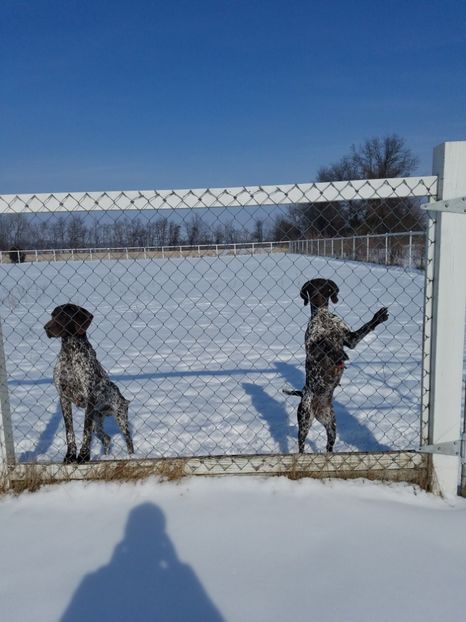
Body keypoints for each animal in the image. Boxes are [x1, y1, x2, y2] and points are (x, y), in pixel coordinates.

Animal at [44, 304, 134, 466]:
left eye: (64, 316)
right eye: (52, 315)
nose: (46, 328)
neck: (70, 353)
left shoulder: (90, 397)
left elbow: (85, 431)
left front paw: (84, 456)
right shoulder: (63, 398)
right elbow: (69, 432)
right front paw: (70, 456)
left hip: (121, 417)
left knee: (128, 440)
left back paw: (131, 457)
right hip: (97, 423)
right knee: (106, 438)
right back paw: (105, 456)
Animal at [284, 280, 390, 456]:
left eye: (325, 289)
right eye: (312, 290)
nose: (317, 299)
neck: (323, 317)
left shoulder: (350, 339)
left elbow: (365, 328)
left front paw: (379, 317)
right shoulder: (311, 346)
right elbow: (324, 344)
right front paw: (337, 352)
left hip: (331, 425)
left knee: (329, 446)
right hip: (305, 421)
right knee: (301, 445)